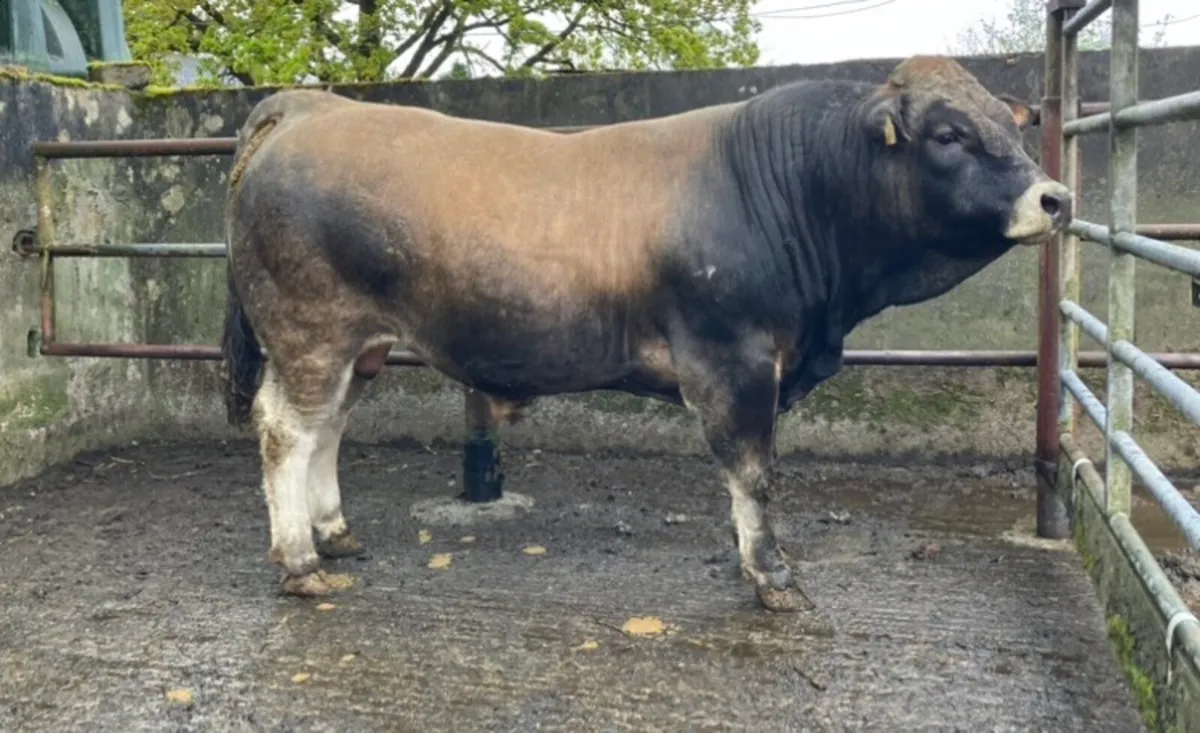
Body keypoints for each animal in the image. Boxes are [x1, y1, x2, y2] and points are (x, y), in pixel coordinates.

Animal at [220, 55, 1071, 613]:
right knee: (286, 431)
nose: (1055, 197)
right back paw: (299, 560)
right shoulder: (734, 360)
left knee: (328, 428)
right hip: (310, 329)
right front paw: (772, 576)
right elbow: (753, 472)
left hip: (355, 347)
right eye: (950, 134)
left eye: (1008, 123)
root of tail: (314, 107)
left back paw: (334, 531)